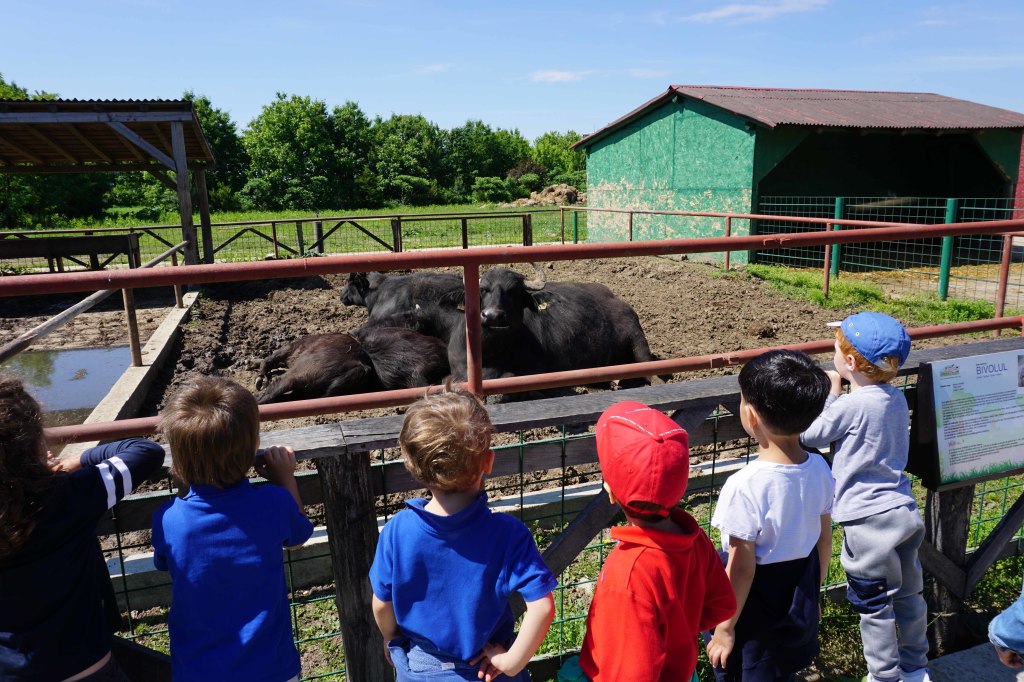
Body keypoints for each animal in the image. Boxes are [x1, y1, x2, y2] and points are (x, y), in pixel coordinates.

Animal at [448, 266, 663, 393]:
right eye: (483, 290)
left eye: (513, 291)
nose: (493, 315)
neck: (492, 351)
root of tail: (619, 301)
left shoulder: (537, 369)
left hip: (637, 338)